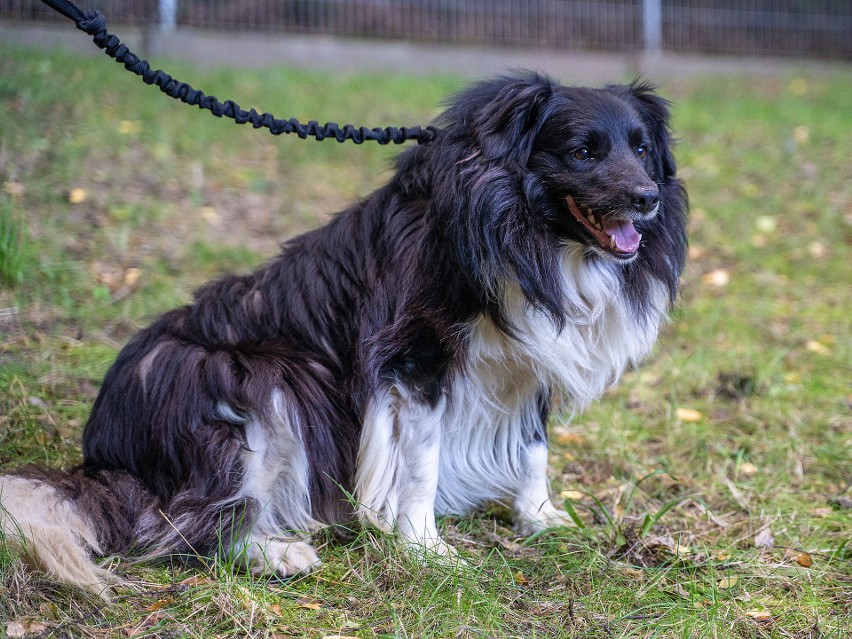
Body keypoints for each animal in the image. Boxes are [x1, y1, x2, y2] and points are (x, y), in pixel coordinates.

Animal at [0, 74, 688, 596]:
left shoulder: (530, 354)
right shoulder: (414, 356)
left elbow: (535, 447)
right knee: (181, 521)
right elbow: (421, 461)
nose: (647, 199)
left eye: (642, 149)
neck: (526, 232)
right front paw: (425, 548)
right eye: (582, 152)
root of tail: (101, 458)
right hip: (250, 377)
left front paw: (541, 518)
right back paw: (275, 551)